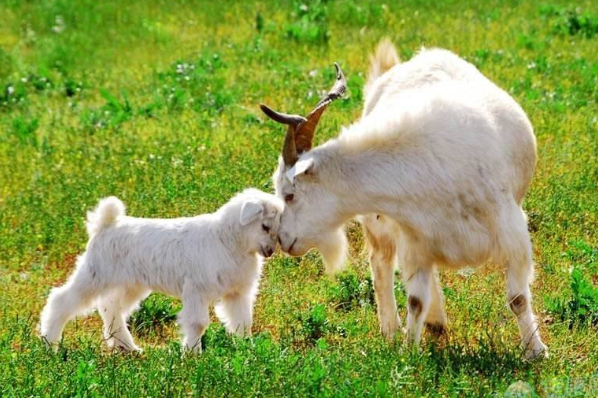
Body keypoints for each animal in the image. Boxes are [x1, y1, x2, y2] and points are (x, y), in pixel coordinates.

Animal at [260, 38, 552, 360]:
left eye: (290, 195)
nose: (283, 241)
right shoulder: (415, 239)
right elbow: (415, 300)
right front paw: (409, 352)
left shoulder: (512, 233)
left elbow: (517, 298)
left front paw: (536, 351)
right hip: (382, 226)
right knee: (381, 263)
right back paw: (394, 327)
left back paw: (435, 321)